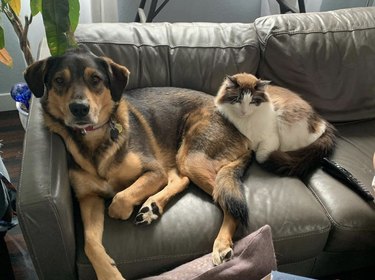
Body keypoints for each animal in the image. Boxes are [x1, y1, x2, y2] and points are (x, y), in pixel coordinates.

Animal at [23, 47, 253, 278]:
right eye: (59, 80)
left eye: (95, 79)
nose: (79, 108)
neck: (94, 141)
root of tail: (245, 135)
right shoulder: (88, 198)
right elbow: (90, 243)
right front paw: (109, 274)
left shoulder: (154, 171)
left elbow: (120, 199)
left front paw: (121, 206)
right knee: (183, 180)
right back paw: (152, 207)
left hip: (191, 158)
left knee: (228, 202)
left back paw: (221, 243)